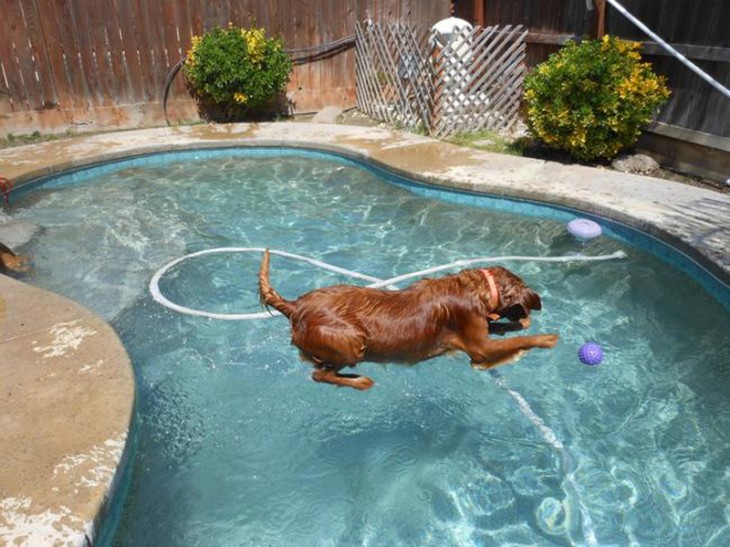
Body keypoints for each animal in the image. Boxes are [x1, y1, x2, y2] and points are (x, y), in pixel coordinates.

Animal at [258, 248, 560, 390]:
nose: (529, 315)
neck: (476, 288)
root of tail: (296, 305)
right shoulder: (479, 348)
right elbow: (520, 341)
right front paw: (546, 338)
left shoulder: (478, 330)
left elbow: (502, 327)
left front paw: (519, 325)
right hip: (351, 340)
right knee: (319, 375)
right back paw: (360, 381)